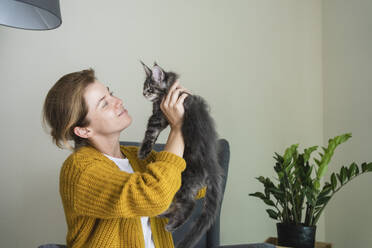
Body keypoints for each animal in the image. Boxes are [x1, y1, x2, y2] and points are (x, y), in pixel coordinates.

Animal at [138, 60, 225, 248]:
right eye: (144, 87)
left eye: (149, 87)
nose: (143, 93)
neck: (170, 89)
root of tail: (213, 167)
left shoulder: (158, 117)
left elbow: (150, 133)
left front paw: (143, 152)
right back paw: (164, 216)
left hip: (185, 179)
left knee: (189, 204)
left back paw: (170, 223)